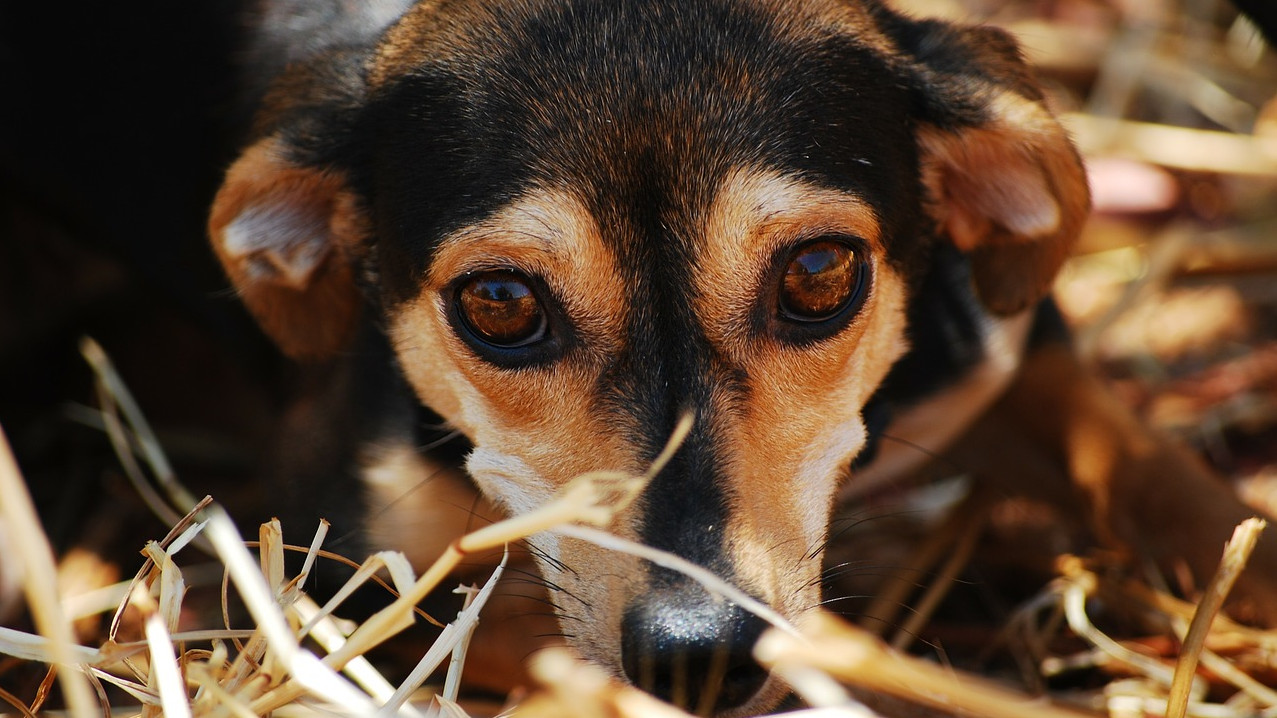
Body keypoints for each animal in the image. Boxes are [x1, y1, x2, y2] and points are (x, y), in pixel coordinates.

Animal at [204, 2, 1277, 710]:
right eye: (498, 305)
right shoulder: (349, 567)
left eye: (817, 272)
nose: (699, 655)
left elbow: (1168, 483)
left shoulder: (1009, 356)